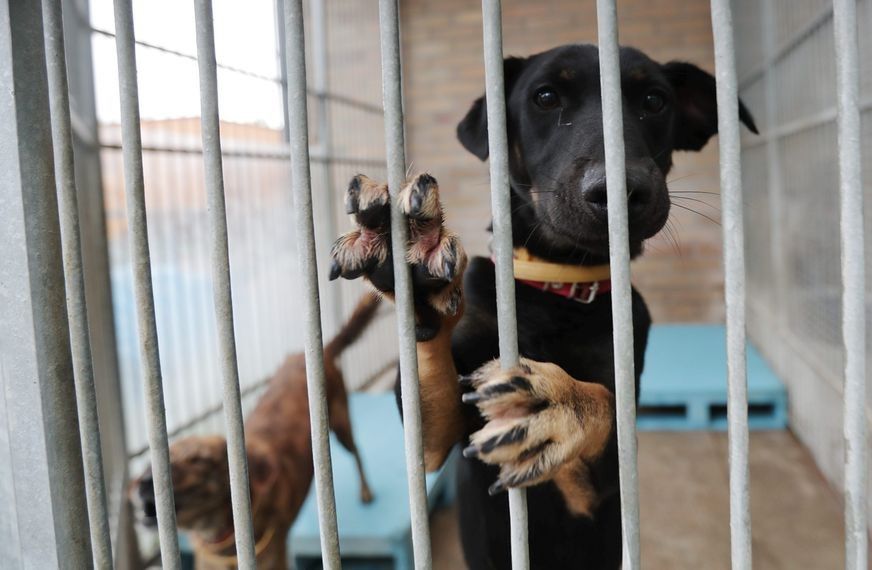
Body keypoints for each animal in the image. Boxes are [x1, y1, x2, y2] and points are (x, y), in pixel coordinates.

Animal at [130, 292, 378, 568]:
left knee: (357, 453)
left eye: (200, 459)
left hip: (341, 426)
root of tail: (318, 351)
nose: (143, 483)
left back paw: (366, 492)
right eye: (155, 461)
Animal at [330, 44, 752, 568]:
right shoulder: (433, 442)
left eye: (654, 101)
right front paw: (416, 260)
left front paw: (558, 403)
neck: (558, 289)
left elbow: (603, 402)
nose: (621, 191)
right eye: (546, 97)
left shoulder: (602, 488)